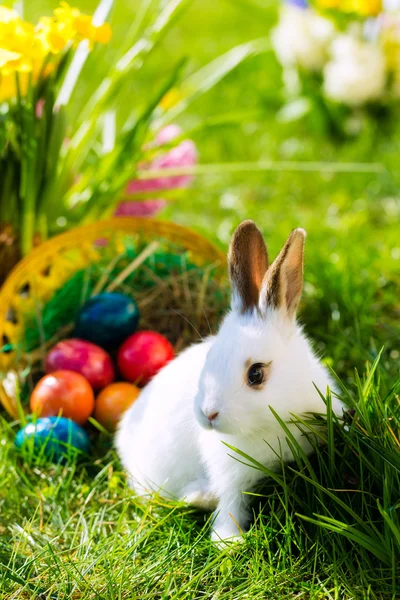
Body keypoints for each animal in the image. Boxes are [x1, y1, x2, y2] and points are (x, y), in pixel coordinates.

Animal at [115, 220, 344, 544]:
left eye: (256, 374)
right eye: (208, 358)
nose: (208, 414)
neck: (271, 424)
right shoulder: (229, 471)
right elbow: (230, 502)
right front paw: (229, 541)